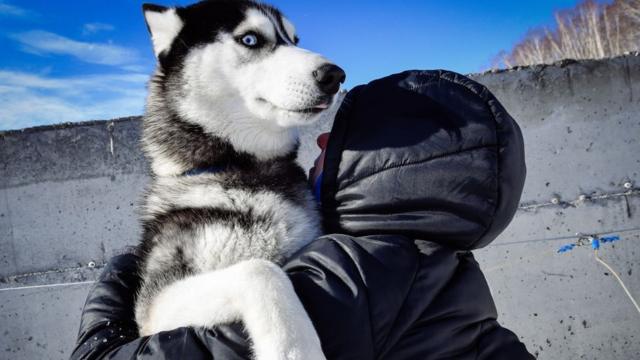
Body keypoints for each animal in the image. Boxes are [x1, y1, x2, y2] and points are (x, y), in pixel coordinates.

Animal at [135, 1, 344, 358]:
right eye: (250, 39)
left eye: (294, 39)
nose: (334, 75)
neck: (243, 169)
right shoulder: (154, 307)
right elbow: (259, 269)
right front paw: (294, 348)